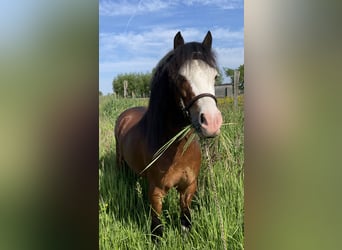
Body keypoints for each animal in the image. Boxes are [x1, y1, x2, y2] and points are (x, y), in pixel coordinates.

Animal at [113, 30, 223, 240]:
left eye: (214, 76)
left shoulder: (188, 187)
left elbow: (185, 219)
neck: (176, 149)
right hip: (120, 160)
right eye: (180, 77)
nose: (212, 122)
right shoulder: (156, 191)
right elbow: (157, 227)